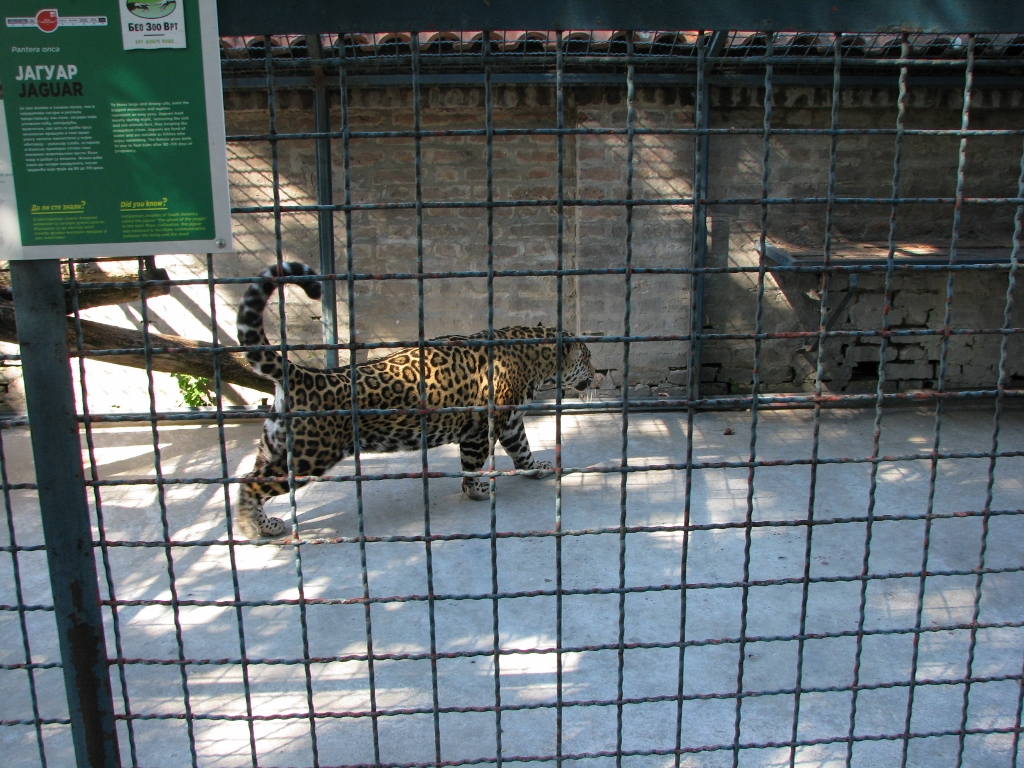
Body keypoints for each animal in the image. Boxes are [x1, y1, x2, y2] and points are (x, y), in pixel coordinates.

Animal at [234, 262, 595, 539]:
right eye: (588, 358)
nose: (596, 374)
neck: (535, 361)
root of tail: (302, 374)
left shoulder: (511, 423)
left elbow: (522, 450)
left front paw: (537, 469)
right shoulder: (480, 429)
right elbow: (472, 465)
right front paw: (477, 491)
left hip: (274, 443)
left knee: (245, 480)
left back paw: (264, 524)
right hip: (310, 454)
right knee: (253, 484)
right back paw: (249, 529)